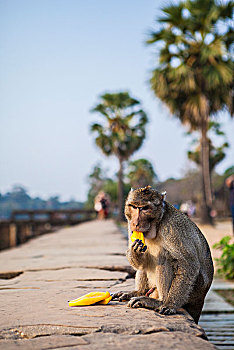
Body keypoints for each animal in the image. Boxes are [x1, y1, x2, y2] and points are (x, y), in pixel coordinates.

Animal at [113, 185, 214, 324]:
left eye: (145, 208)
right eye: (133, 206)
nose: (136, 223)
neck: (156, 224)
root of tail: (201, 299)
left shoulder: (174, 229)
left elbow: (188, 265)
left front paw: (170, 304)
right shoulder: (129, 226)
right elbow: (142, 260)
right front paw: (134, 251)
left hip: (194, 291)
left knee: (164, 257)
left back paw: (159, 301)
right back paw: (138, 292)